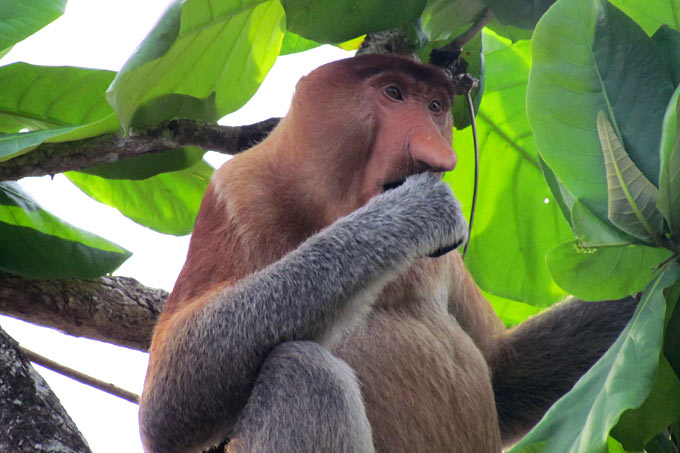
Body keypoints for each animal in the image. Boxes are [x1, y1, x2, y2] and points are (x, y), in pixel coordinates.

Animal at [138, 54, 637, 452]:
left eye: (435, 107)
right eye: (393, 94)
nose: (439, 154)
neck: (325, 203)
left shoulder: (448, 262)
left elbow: (503, 373)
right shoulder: (235, 193)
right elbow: (168, 407)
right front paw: (411, 212)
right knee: (300, 368)